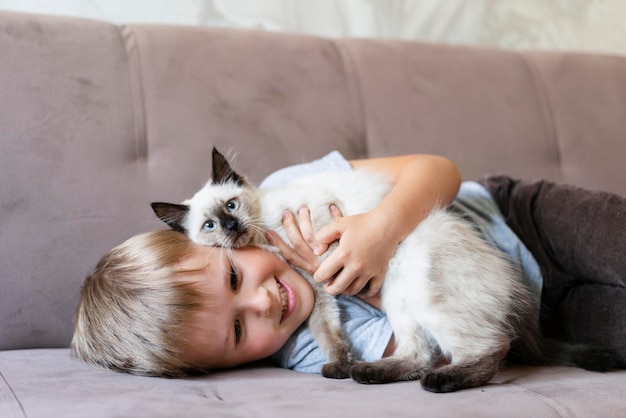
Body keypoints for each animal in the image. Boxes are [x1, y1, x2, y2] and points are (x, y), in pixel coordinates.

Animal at [151, 148, 616, 392]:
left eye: (231, 206)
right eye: (209, 226)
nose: (231, 228)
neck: (265, 238)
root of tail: (512, 283)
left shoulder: (321, 257)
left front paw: (340, 366)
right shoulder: (317, 286)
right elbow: (329, 333)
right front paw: (339, 367)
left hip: (412, 280)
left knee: (490, 348)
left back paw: (438, 383)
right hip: (400, 298)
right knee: (423, 353)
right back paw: (367, 372)